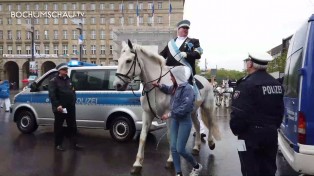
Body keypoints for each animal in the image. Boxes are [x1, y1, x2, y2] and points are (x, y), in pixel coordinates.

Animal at [113, 40, 221, 174]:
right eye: (118, 60)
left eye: (128, 60)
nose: (117, 85)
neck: (156, 87)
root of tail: (205, 80)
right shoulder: (147, 114)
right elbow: (143, 137)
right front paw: (137, 163)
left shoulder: (170, 115)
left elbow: (171, 136)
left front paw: (170, 160)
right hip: (192, 111)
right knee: (196, 125)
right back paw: (196, 147)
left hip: (208, 106)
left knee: (210, 123)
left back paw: (211, 143)